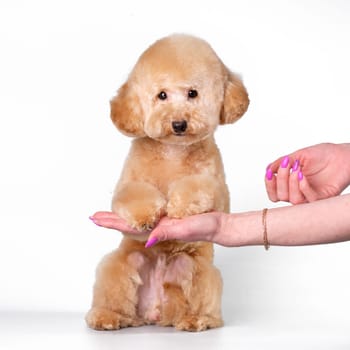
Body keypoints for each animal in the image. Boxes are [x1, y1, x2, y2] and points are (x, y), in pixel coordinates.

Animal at [85, 34, 249, 332]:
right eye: (161, 95)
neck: (173, 151)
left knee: (202, 297)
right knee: (117, 283)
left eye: (193, 93)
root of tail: (154, 313)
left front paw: (179, 207)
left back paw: (196, 320)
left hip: (197, 270)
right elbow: (130, 195)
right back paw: (107, 316)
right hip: (120, 264)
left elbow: (202, 188)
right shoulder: (129, 182)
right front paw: (145, 216)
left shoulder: (217, 188)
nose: (179, 124)